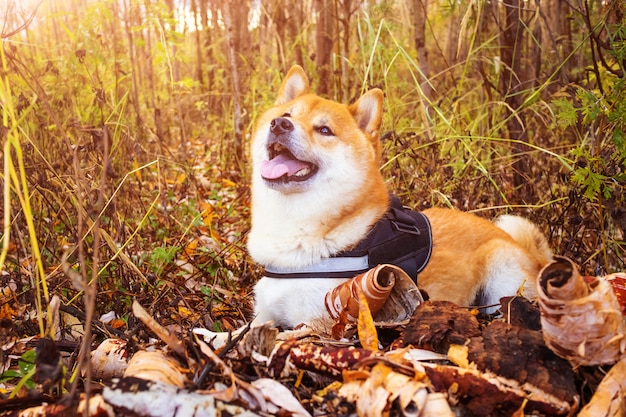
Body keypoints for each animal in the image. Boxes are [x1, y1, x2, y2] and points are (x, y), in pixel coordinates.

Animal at [241, 65, 548, 332]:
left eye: (324, 130)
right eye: (287, 114)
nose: (280, 124)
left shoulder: (321, 323)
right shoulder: (263, 315)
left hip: (502, 279)